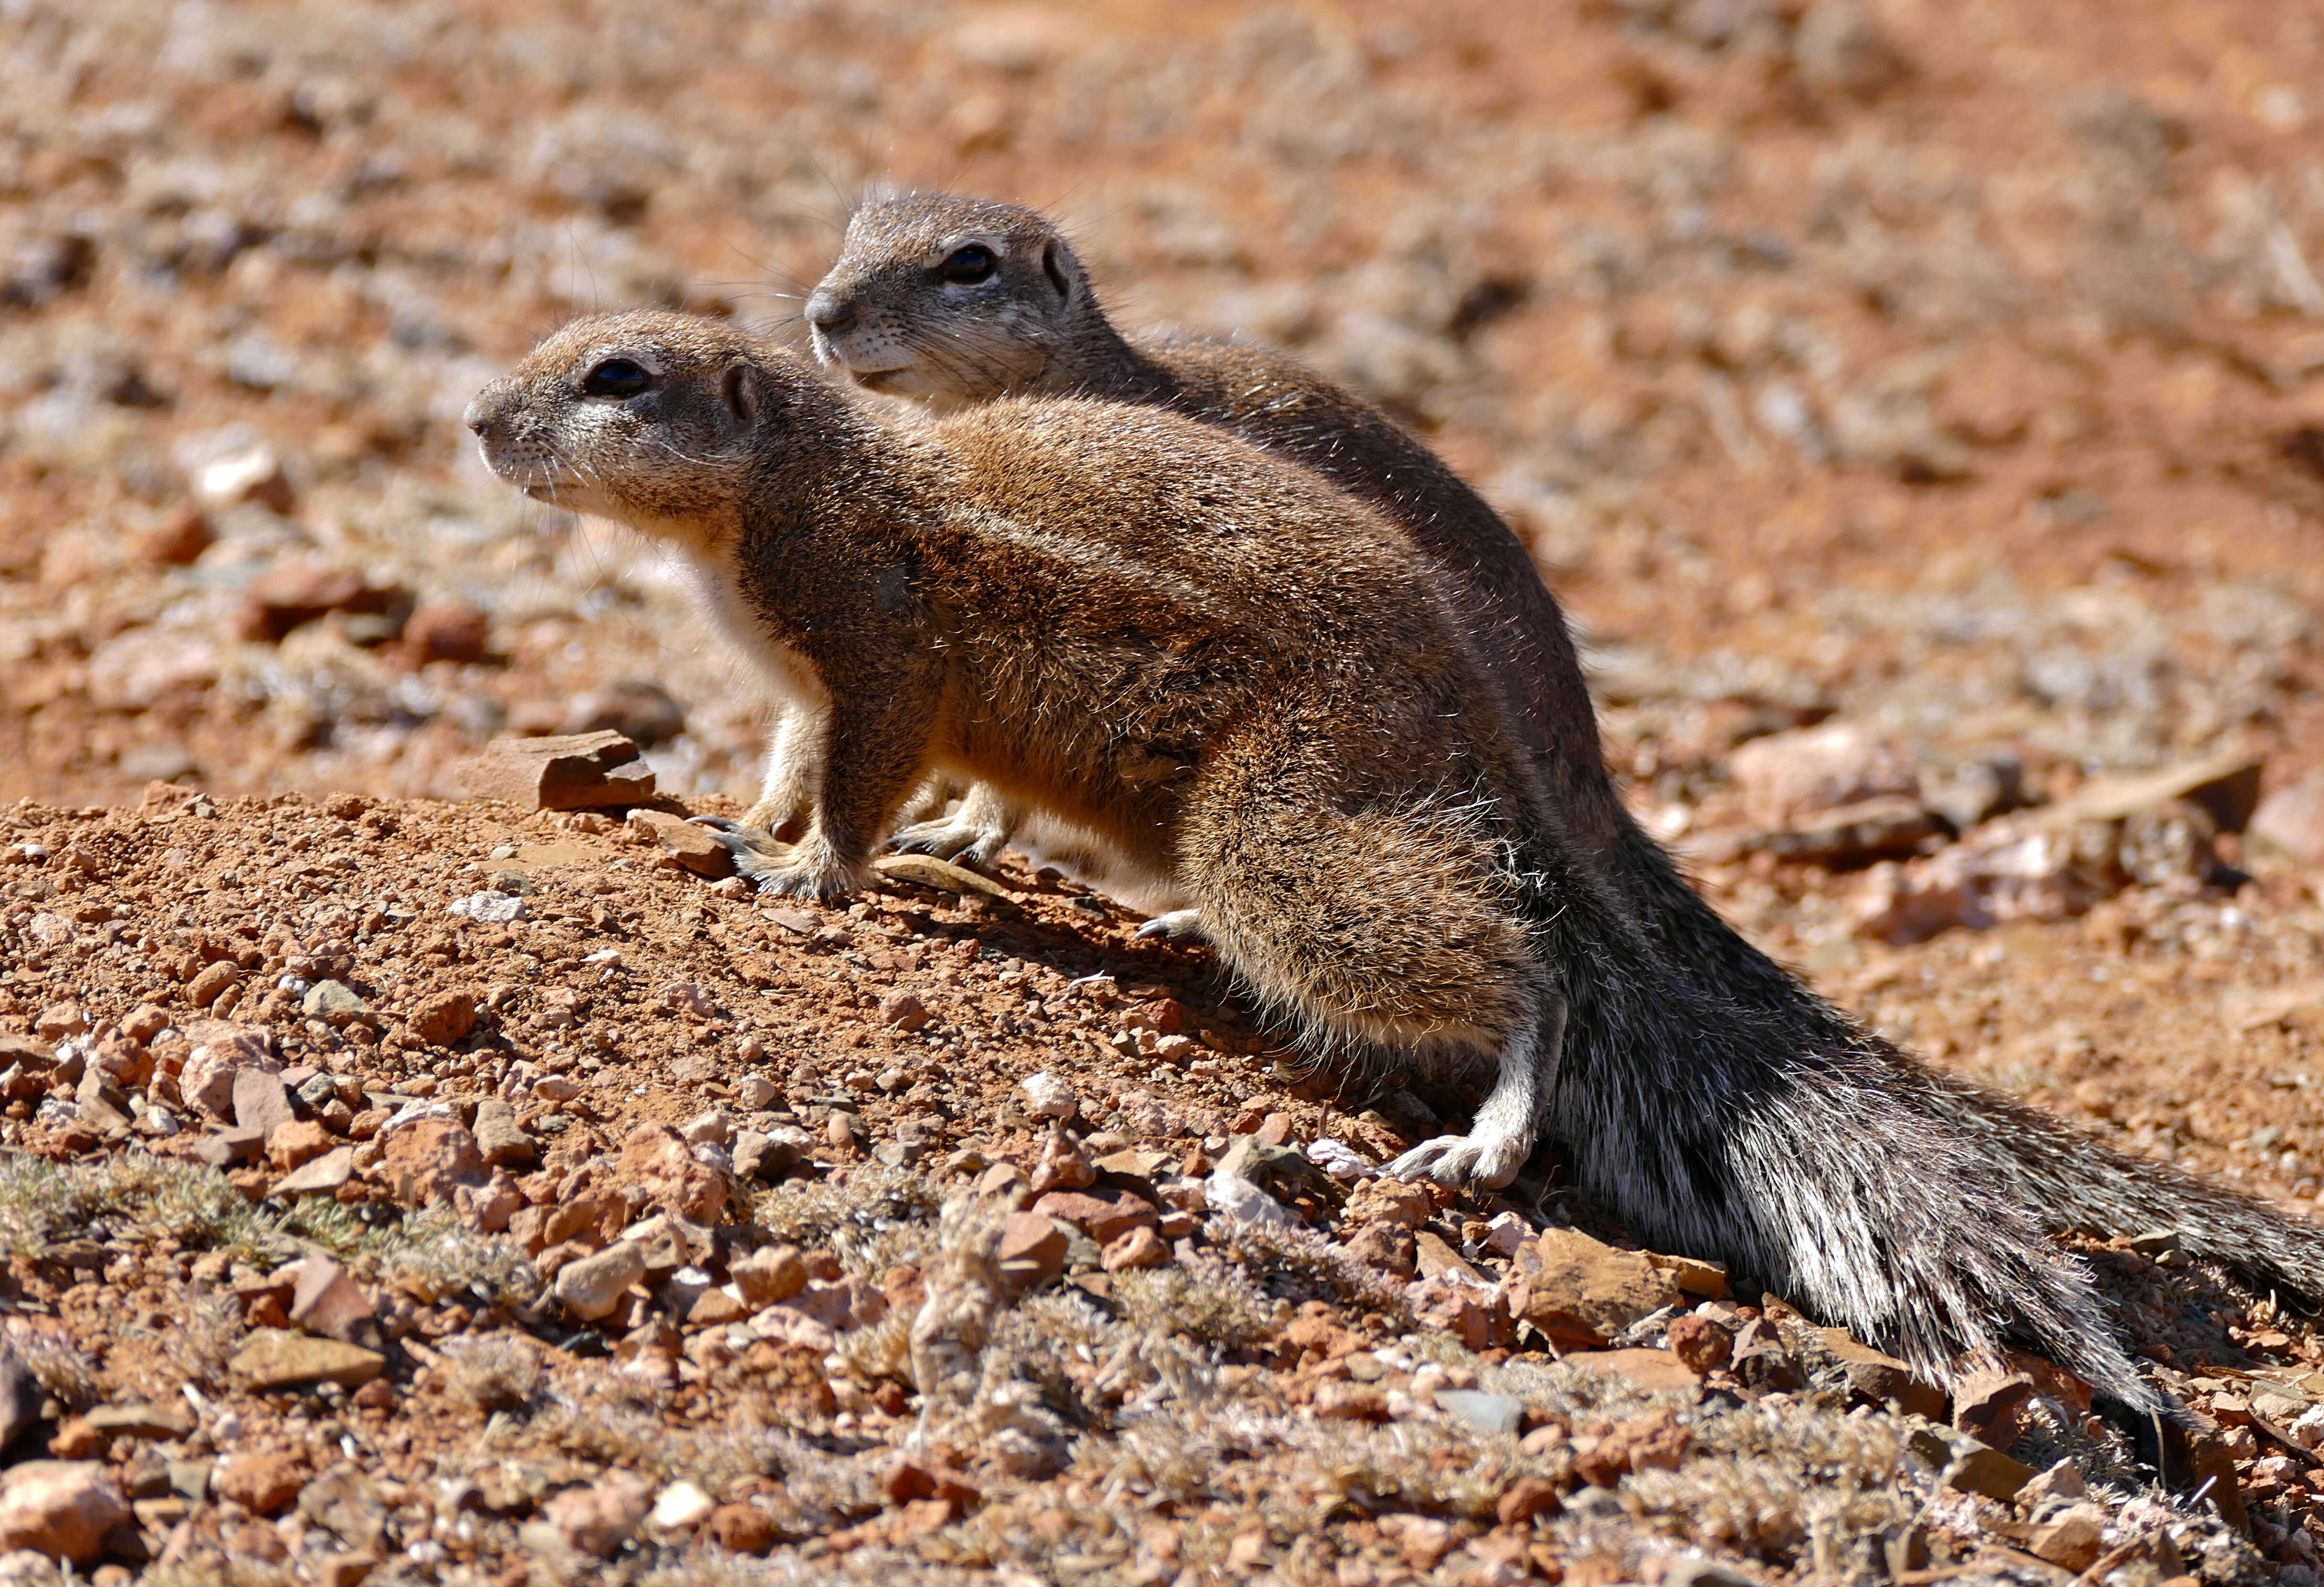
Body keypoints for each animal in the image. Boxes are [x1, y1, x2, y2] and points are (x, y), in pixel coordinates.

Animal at [467, 311, 2175, 1413]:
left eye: (618, 378)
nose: (476, 419)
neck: (789, 486)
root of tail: (1478, 711)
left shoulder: (880, 655)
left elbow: (861, 788)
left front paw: (806, 875)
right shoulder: (805, 686)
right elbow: (786, 760)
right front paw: (742, 819)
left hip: (1276, 829)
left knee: (1528, 965)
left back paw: (1484, 1136)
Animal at [799, 186, 2324, 1329]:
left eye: (967, 264)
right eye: (855, 221)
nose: (820, 313)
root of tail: (1579, 785)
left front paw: (949, 829)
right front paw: (947, 827)